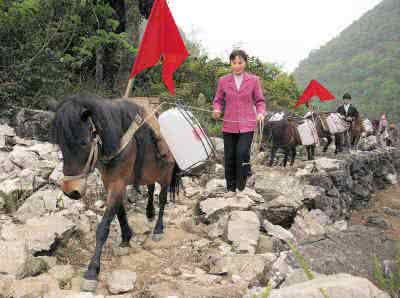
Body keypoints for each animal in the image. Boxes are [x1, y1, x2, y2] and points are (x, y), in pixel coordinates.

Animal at [52, 95, 180, 292]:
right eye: (61, 144)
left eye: (83, 143)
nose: (70, 191)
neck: (118, 142)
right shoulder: (112, 183)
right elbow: (120, 212)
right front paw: (126, 238)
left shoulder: (118, 183)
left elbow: (103, 227)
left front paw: (92, 272)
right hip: (148, 173)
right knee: (151, 189)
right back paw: (149, 213)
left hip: (165, 175)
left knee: (163, 199)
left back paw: (158, 228)